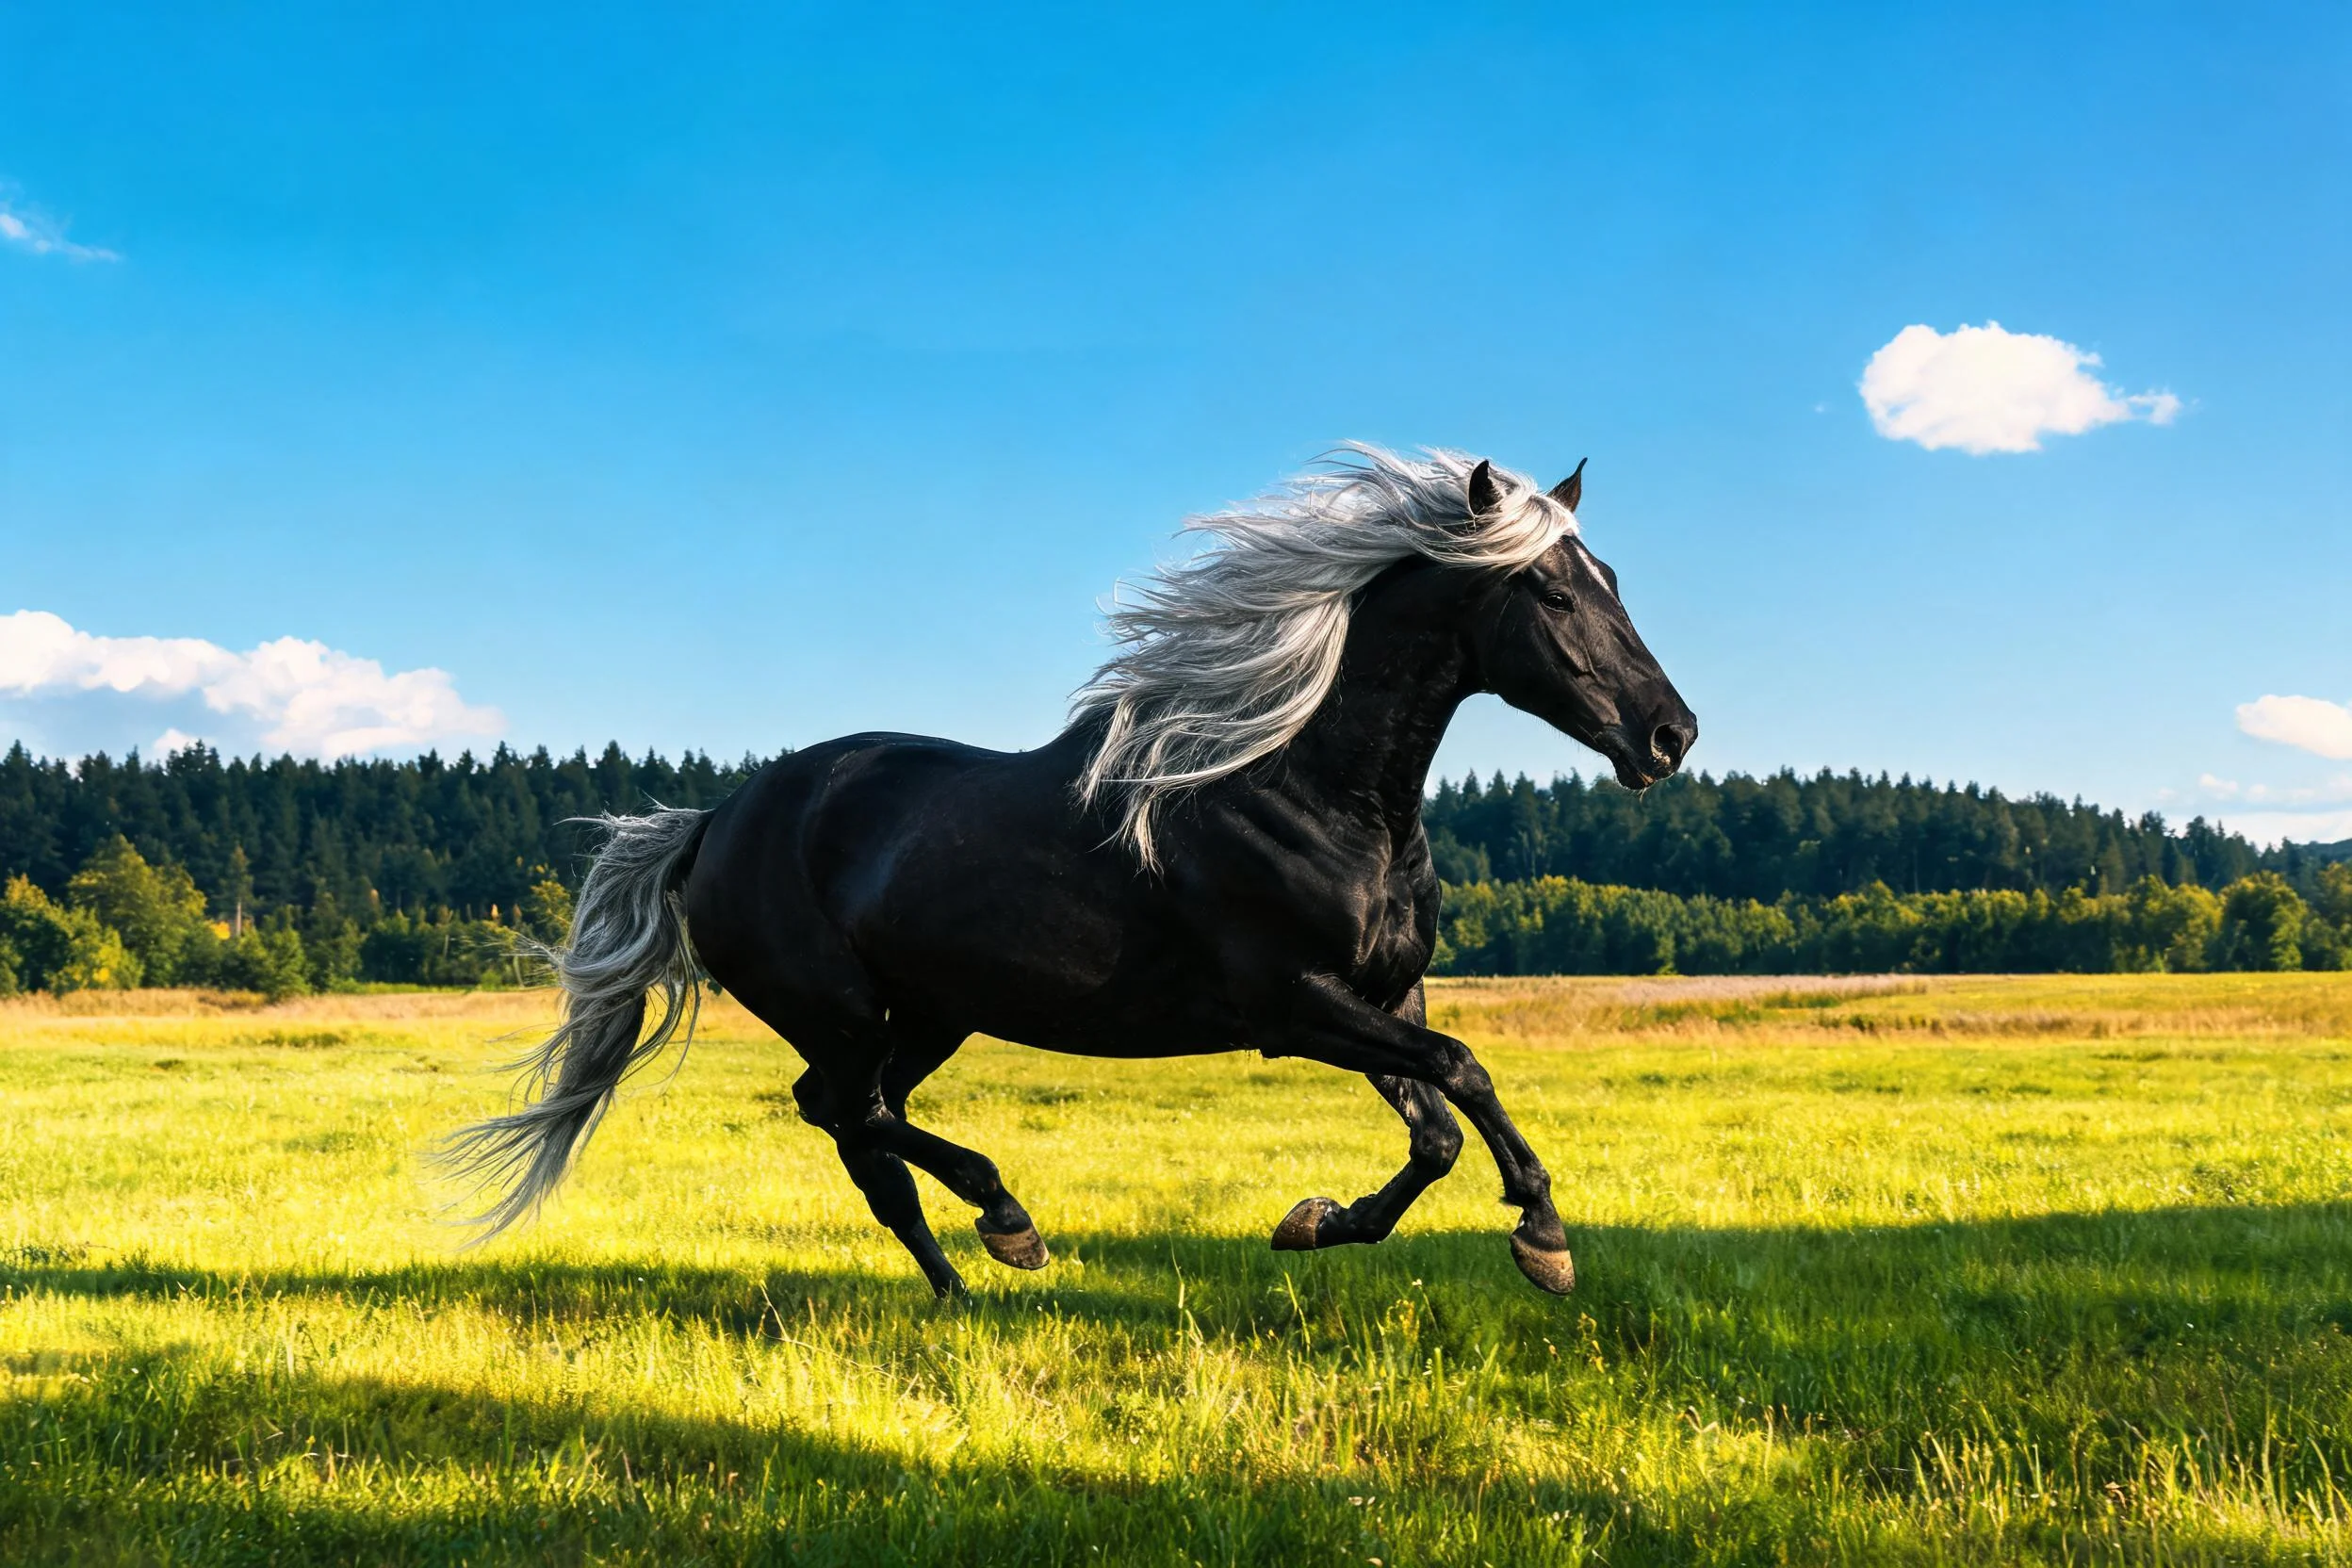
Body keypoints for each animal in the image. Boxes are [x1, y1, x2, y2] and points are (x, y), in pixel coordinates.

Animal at [446, 447, 1696, 1297]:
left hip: (929, 1010)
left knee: (853, 1120)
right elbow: (1466, 1071)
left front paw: (1311, 1219)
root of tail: (718, 818)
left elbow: (1435, 1127)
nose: (1671, 734)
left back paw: (960, 1280)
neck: (1308, 791)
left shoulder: (1379, 996)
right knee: (856, 1111)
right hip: (839, 1009)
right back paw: (1006, 1223)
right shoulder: (1293, 1005)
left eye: (1612, 574)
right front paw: (1543, 1236)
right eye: (1551, 592)